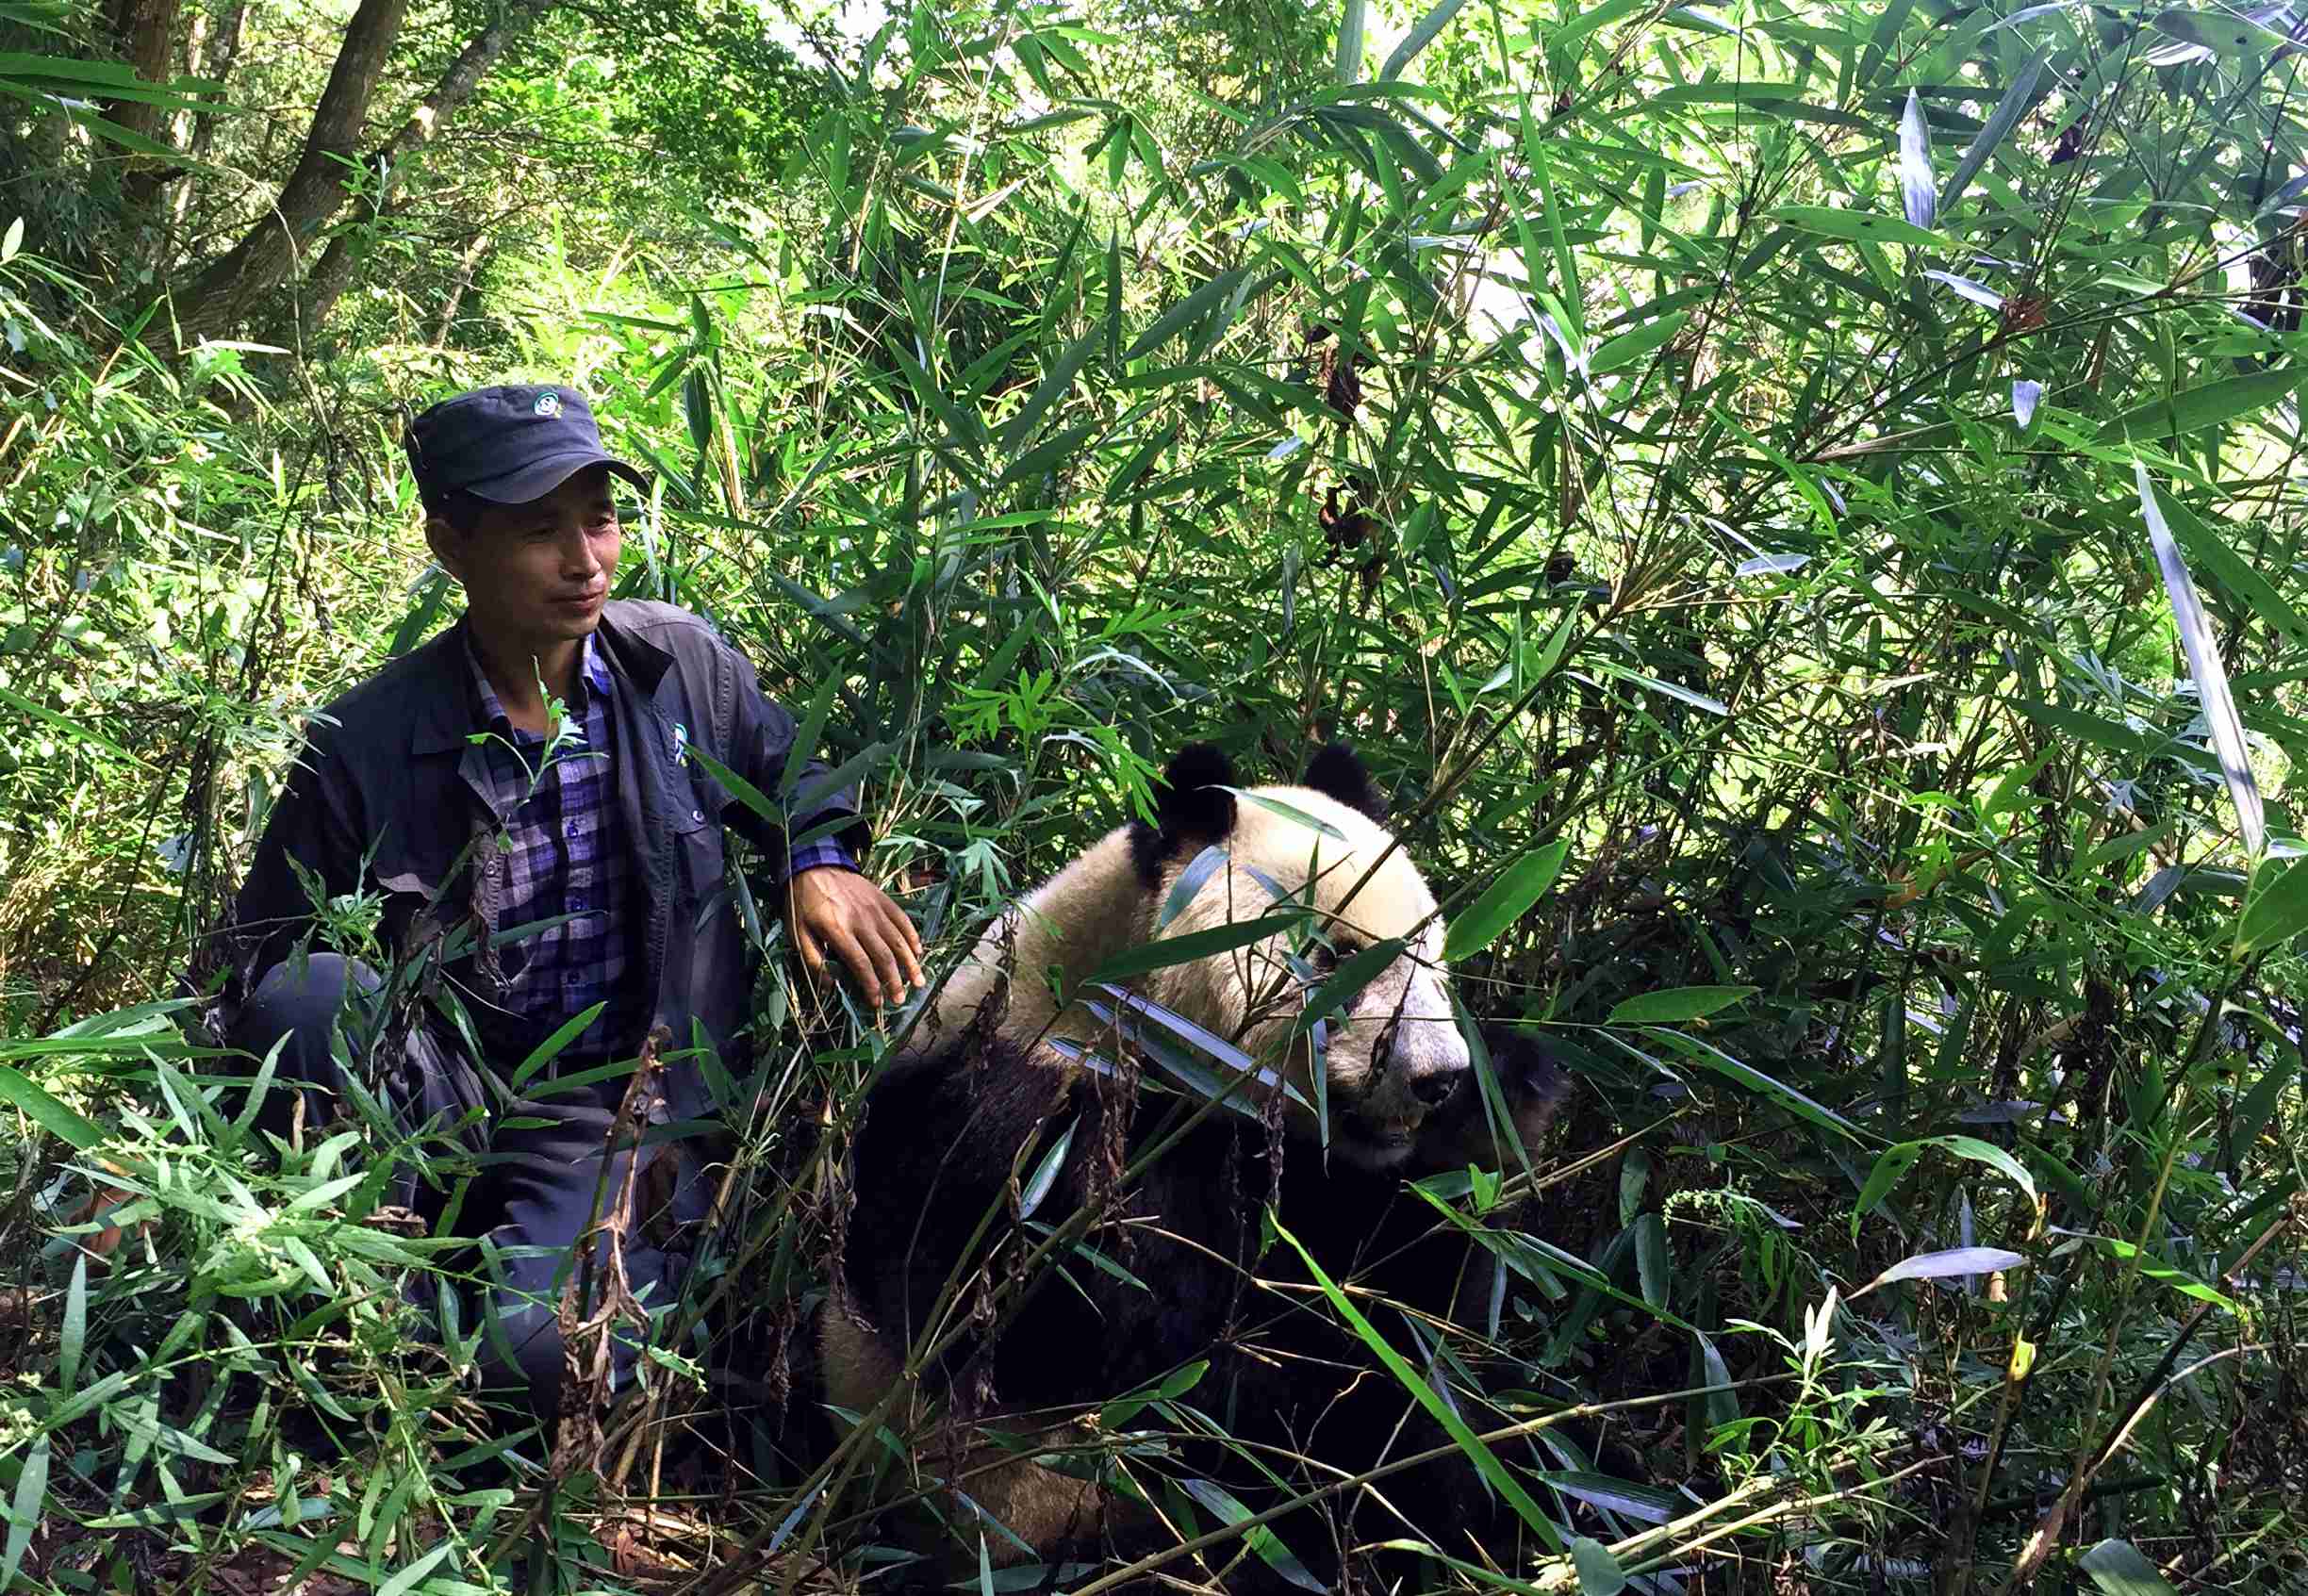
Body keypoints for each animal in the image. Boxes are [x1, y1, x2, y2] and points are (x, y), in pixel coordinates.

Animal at [812, 742, 1569, 1587]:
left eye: (1429, 954)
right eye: (1336, 958)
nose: (1436, 1075)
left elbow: (1395, 1283)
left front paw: (1503, 1094)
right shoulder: (1025, 1133)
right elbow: (1166, 1349)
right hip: (1061, 1511)